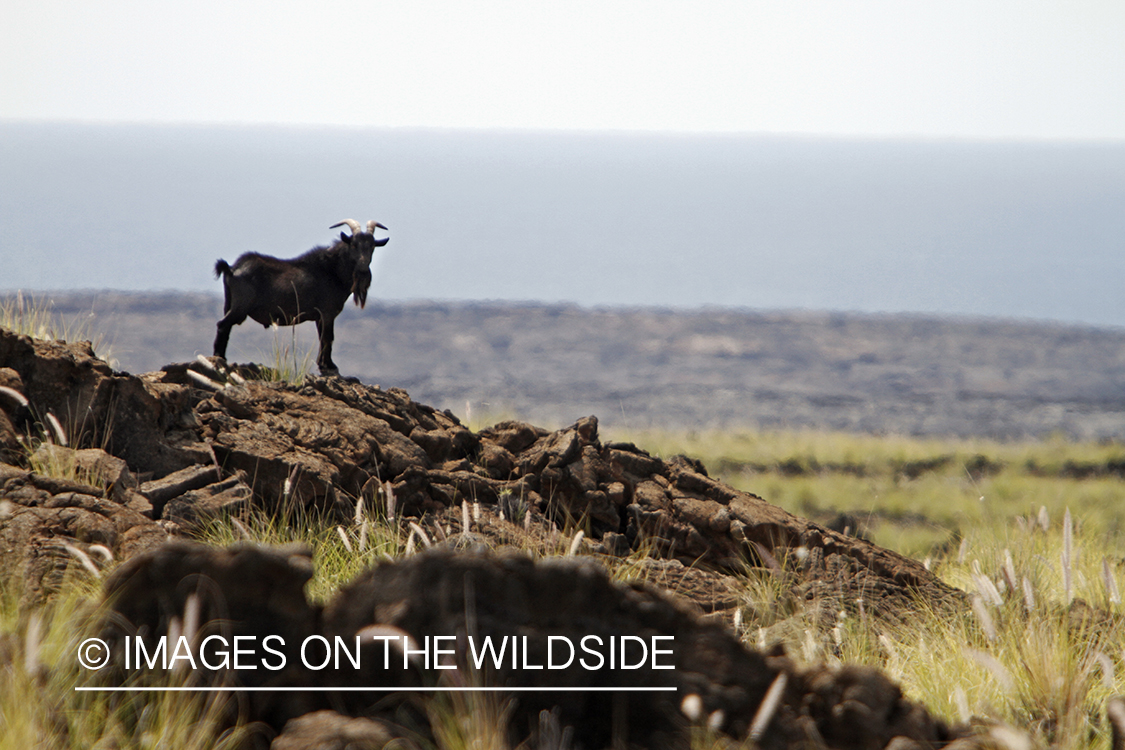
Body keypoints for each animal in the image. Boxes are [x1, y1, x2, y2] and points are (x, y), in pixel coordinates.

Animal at [212, 221, 389, 375]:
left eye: (372, 246)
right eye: (353, 245)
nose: (363, 271)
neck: (332, 271)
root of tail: (232, 269)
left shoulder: (320, 317)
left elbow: (323, 338)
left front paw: (323, 364)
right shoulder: (327, 314)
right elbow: (328, 338)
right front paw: (329, 366)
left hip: (229, 303)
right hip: (240, 307)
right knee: (222, 325)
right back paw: (220, 357)